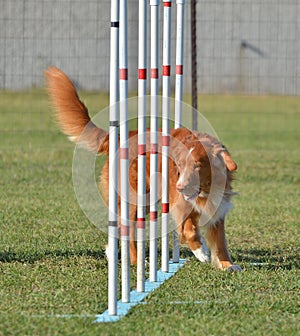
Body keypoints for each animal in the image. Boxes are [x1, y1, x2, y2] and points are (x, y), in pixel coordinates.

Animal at [44, 67, 241, 272]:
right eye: (180, 165)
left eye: (198, 166)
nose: (180, 187)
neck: (206, 189)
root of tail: (120, 137)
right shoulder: (179, 204)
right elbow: (188, 230)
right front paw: (201, 251)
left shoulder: (217, 210)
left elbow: (220, 242)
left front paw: (227, 264)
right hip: (135, 199)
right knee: (128, 229)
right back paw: (135, 260)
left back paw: (113, 253)